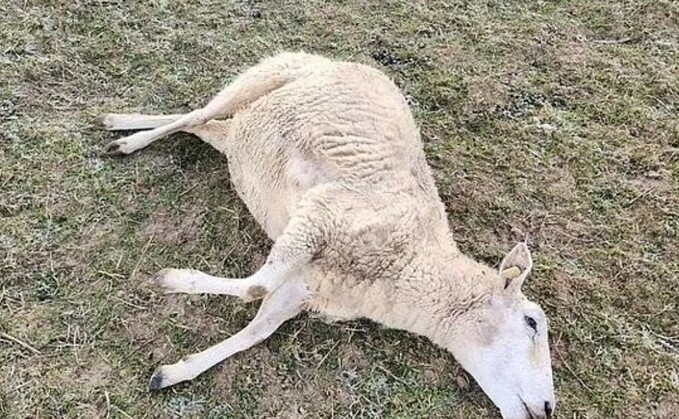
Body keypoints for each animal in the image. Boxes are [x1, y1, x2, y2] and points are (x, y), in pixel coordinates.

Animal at [101, 51, 556, 419]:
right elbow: (254, 287)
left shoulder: (305, 284)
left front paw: (173, 372)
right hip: (265, 75)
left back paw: (119, 122)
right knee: (196, 114)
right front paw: (171, 280)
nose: (549, 407)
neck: (409, 266)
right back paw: (127, 138)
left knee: (204, 123)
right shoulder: (323, 213)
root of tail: (329, 59)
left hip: (239, 133)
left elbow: (256, 330)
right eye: (532, 322)